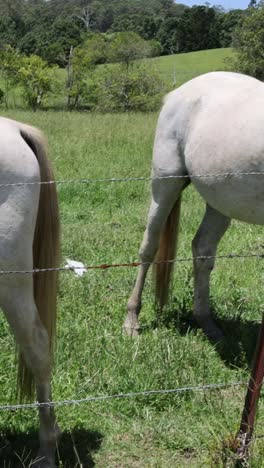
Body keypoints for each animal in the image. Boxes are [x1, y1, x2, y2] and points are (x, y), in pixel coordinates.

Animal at [124, 70, 264, 340]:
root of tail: (175, 94)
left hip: (219, 201)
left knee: (202, 249)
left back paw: (207, 323)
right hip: (166, 183)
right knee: (149, 247)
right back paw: (131, 320)